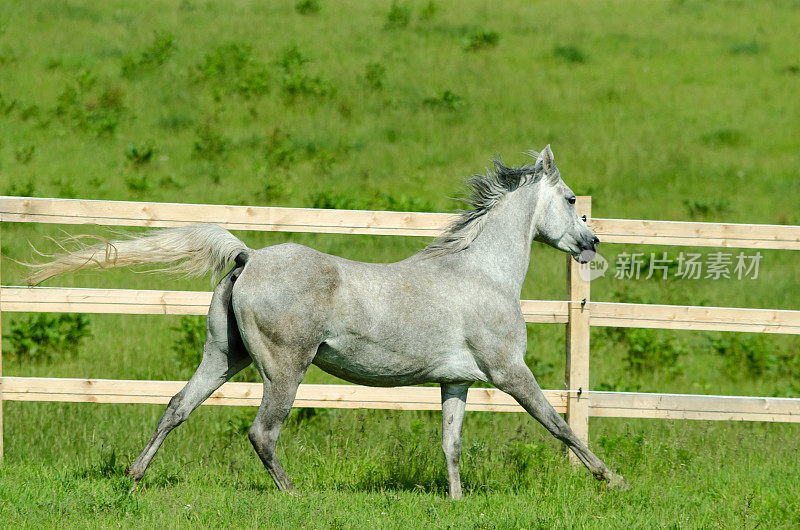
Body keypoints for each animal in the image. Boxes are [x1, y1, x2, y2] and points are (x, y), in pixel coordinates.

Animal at [28, 144, 632, 496]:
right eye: (571, 198)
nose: (591, 243)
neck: (482, 273)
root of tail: (248, 257)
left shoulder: (455, 380)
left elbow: (451, 443)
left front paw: (457, 503)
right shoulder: (509, 371)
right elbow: (560, 425)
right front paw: (614, 480)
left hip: (223, 357)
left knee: (176, 407)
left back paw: (132, 478)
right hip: (284, 368)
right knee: (262, 432)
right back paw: (295, 495)